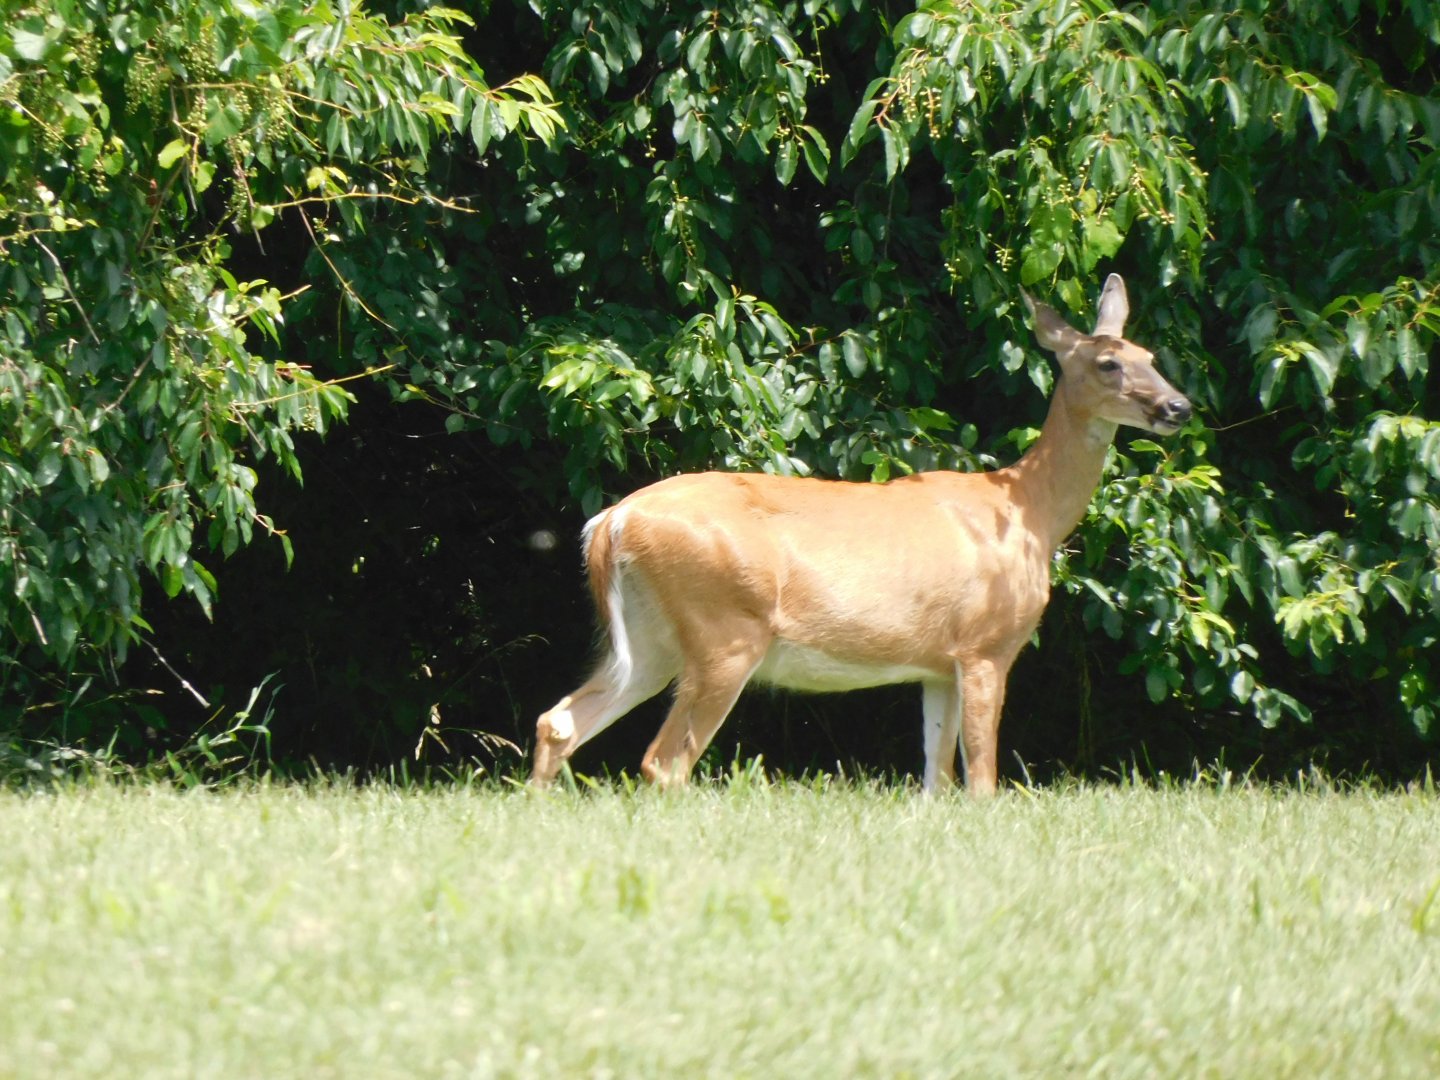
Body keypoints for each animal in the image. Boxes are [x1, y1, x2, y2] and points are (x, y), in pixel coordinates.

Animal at [532, 275, 1192, 796]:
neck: (1029, 513)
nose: (1178, 407)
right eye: (1109, 363)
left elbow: (935, 778)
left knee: (559, 722)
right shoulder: (986, 644)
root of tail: (612, 521)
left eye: (1151, 355)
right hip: (724, 627)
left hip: (653, 637)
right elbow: (980, 780)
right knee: (663, 761)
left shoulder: (937, 662)